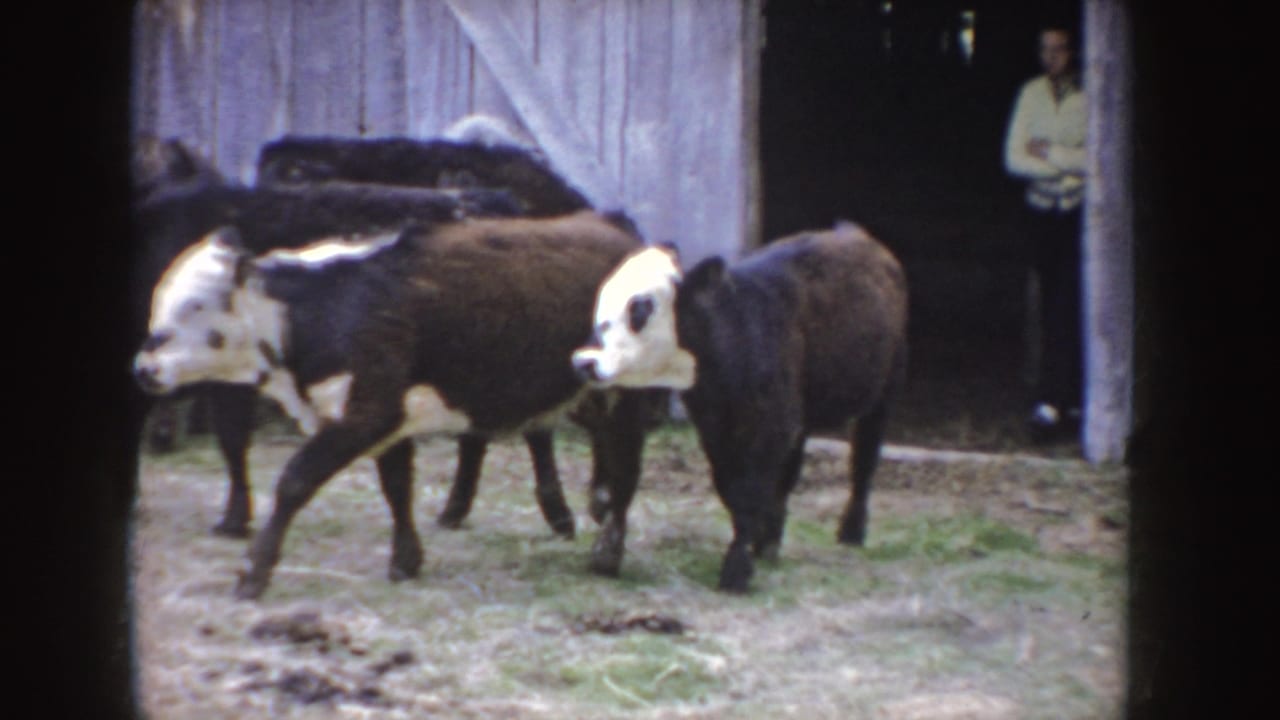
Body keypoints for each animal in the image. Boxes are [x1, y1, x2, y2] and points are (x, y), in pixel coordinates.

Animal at [132, 211, 659, 600]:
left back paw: (607, 550)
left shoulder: (366, 414)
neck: (320, 309)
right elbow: (397, 487)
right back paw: (594, 504)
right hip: (586, 394)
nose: (143, 368)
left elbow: (294, 481)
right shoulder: (389, 420)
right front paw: (406, 559)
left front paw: (253, 572)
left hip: (628, 398)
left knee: (627, 468)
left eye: (194, 307)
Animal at [571, 221, 909, 593]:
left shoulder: (769, 426)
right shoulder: (716, 427)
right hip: (800, 414)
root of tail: (852, 232)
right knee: (789, 472)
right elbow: (730, 487)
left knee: (864, 460)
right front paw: (751, 545)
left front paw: (736, 569)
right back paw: (769, 540)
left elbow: (749, 489)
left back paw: (851, 531)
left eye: (640, 309)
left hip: (884, 391)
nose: (583, 361)